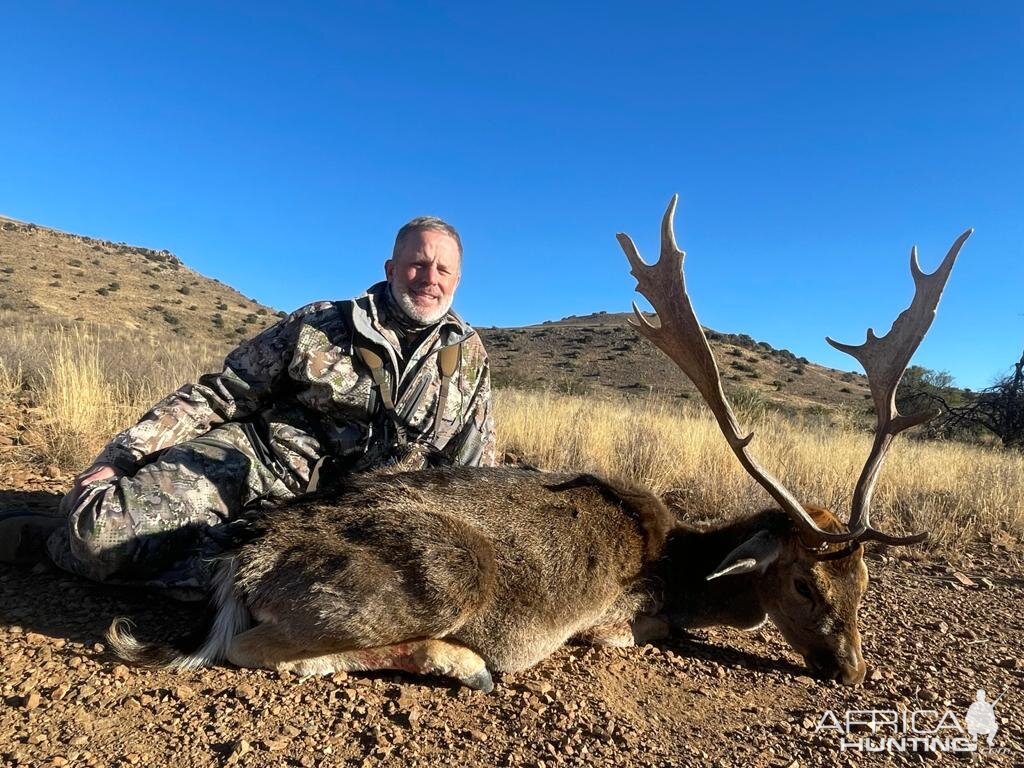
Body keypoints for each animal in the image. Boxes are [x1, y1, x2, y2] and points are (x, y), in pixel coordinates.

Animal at [110, 198, 966, 692]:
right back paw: (462, 662)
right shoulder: (621, 615)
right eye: (802, 585)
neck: (681, 560)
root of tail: (240, 564)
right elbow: (640, 631)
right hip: (443, 576)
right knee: (252, 650)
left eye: (865, 586)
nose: (854, 671)